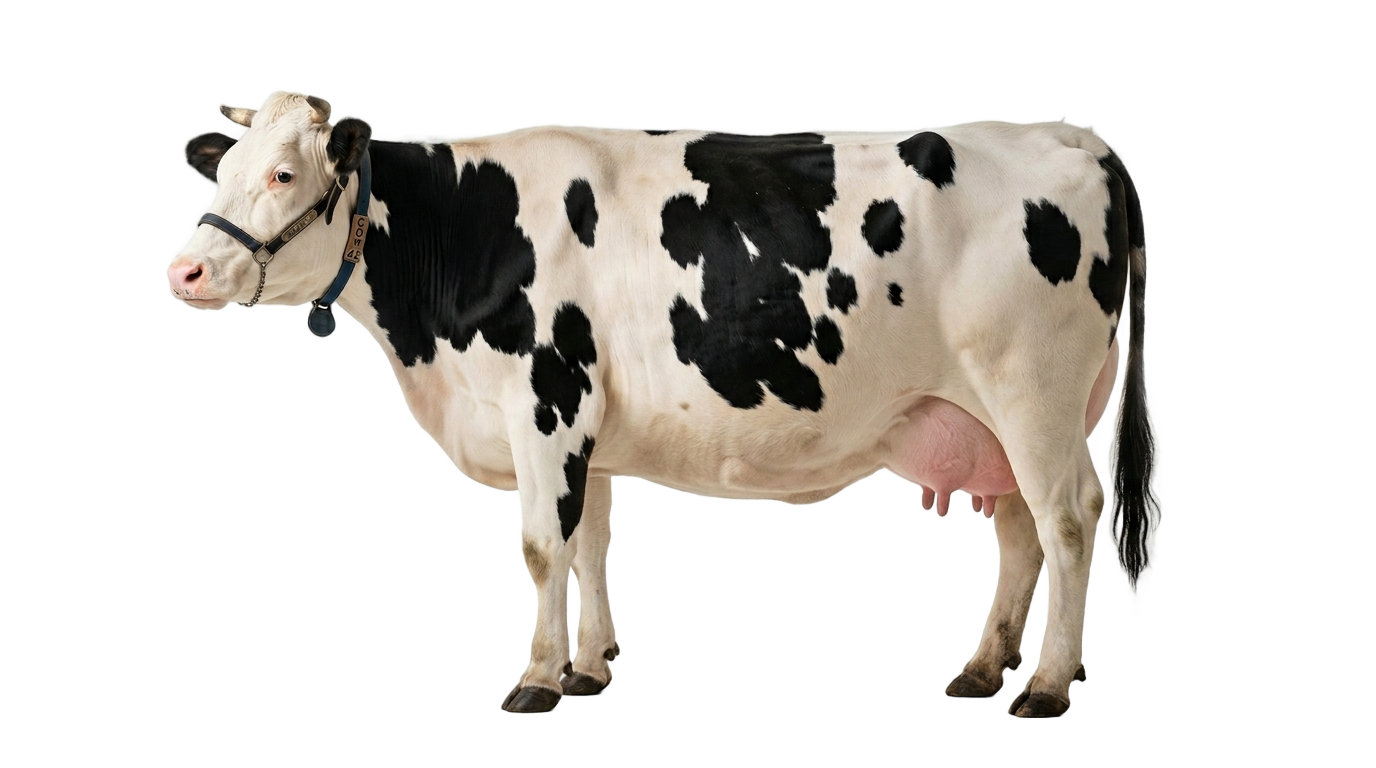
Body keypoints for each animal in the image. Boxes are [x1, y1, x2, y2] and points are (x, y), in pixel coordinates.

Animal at [169, 91, 1153, 719]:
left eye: (284, 176)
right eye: (225, 174)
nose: (186, 271)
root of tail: (1074, 138)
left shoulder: (545, 398)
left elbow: (541, 548)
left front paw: (538, 681)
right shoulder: (584, 423)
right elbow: (591, 543)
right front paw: (592, 666)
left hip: (1033, 391)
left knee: (1065, 525)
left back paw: (1048, 689)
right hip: (1022, 412)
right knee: (1025, 526)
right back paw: (986, 670)